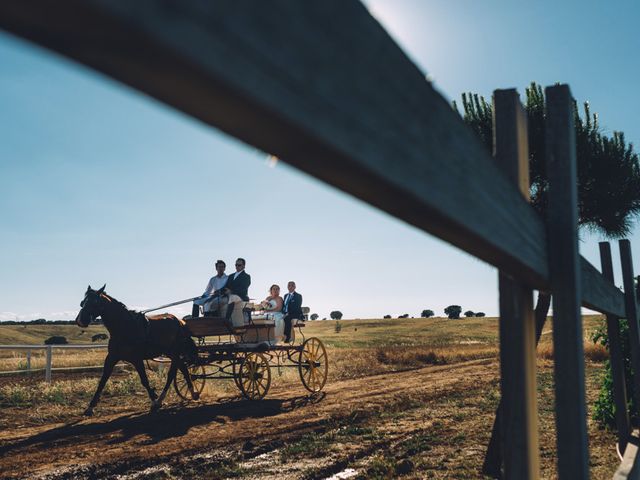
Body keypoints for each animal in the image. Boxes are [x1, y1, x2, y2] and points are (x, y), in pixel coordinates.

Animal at [74, 284, 198, 416]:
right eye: (83, 302)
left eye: (95, 302)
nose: (80, 320)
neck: (125, 327)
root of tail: (180, 322)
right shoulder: (112, 357)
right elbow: (102, 381)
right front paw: (90, 407)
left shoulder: (136, 359)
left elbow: (144, 380)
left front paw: (154, 401)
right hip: (170, 352)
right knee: (183, 368)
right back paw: (193, 393)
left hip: (175, 352)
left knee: (172, 374)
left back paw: (161, 399)